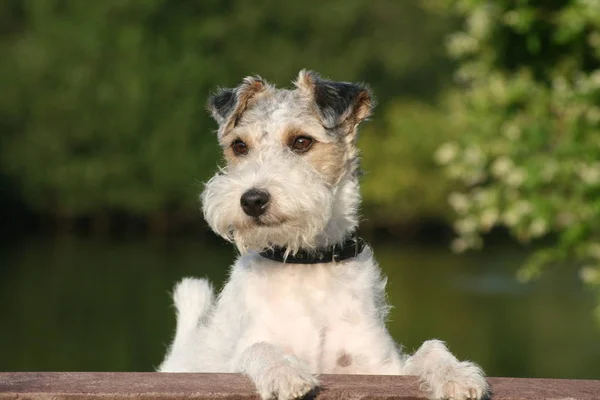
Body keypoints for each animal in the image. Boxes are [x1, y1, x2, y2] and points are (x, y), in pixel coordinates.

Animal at [157, 70, 490, 398]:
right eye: (239, 146)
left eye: (302, 141)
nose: (252, 200)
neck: (307, 260)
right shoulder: (234, 358)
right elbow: (258, 347)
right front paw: (285, 374)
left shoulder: (380, 368)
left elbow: (429, 348)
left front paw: (458, 376)